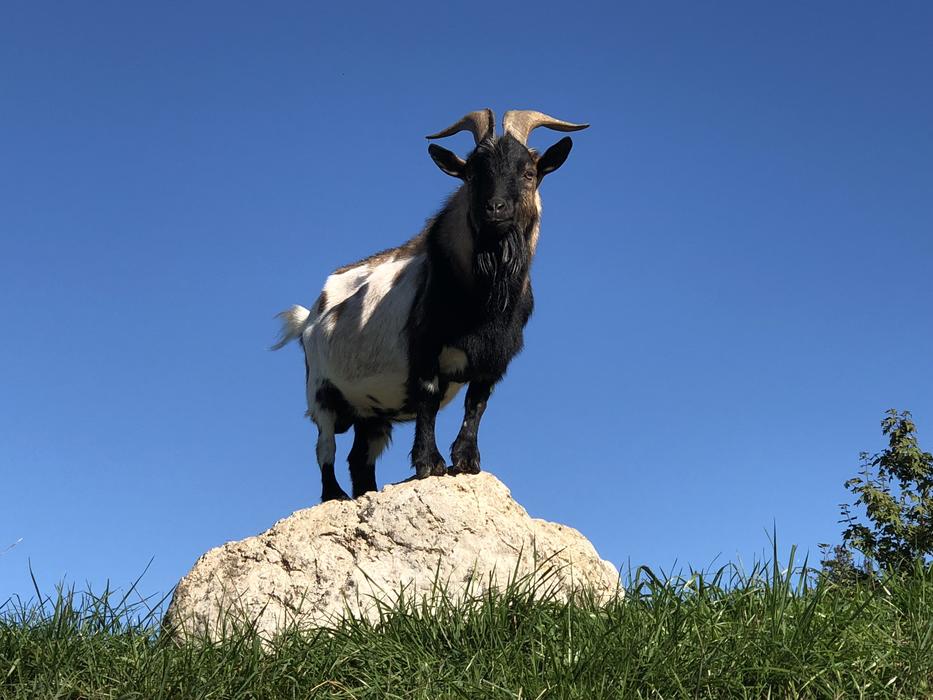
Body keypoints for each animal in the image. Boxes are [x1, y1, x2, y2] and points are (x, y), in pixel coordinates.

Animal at [274, 108, 588, 501]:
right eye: (472, 173)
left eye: (529, 172)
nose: (495, 208)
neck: (484, 302)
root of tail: (307, 318)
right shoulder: (424, 347)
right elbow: (428, 400)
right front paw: (429, 463)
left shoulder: (494, 360)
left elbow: (477, 404)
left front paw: (466, 461)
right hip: (321, 391)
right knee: (325, 447)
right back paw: (335, 495)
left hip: (370, 413)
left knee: (360, 458)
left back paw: (366, 492)